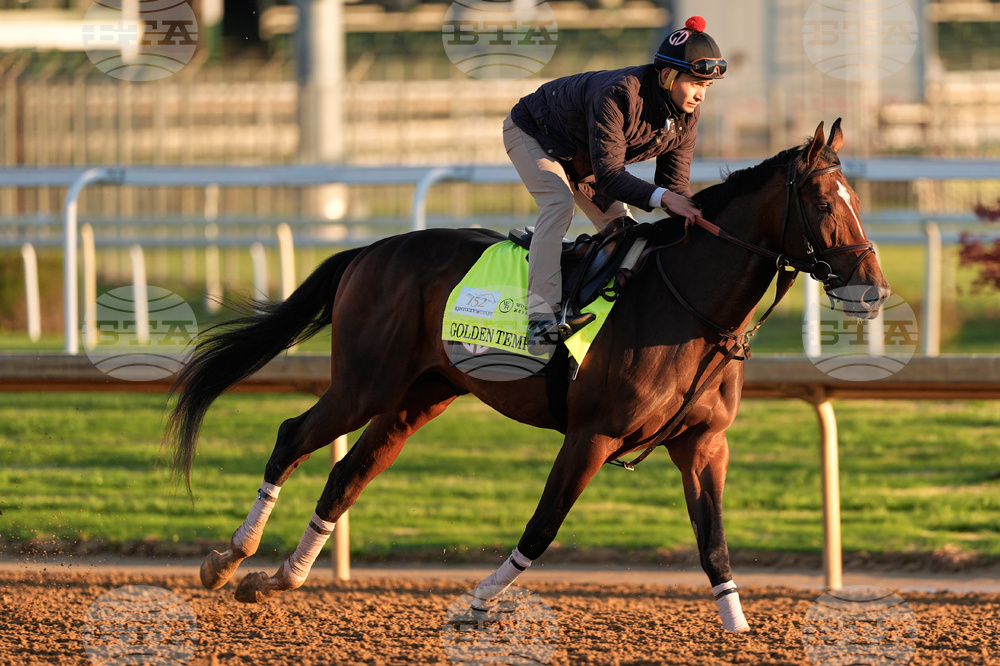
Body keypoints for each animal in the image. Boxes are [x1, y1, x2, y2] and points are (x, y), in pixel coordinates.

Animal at [166, 119, 889, 633]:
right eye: (825, 202)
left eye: (859, 199)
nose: (874, 289)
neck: (688, 306)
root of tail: (371, 250)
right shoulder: (592, 434)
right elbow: (542, 528)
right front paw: (477, 603)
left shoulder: (703, 443)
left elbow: (714, 545)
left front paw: (738, 629)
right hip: (366, 383)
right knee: (292, 437)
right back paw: (227, 559)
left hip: (420, 396)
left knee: (347, 474)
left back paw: (277, 578)